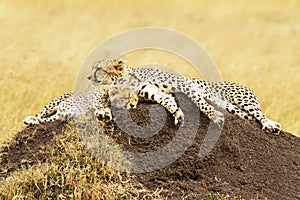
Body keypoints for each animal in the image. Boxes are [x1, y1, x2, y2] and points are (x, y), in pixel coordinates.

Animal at [86, 59, 282, 134]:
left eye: (98, 68)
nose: (88, 77)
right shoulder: (154, 92)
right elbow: (168, 100)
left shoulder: (185, 85)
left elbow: (200, 102)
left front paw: (214, 116)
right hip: (234, 108)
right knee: (249, 116)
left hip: (241, 99)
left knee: (258, 114)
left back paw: (270, 125)